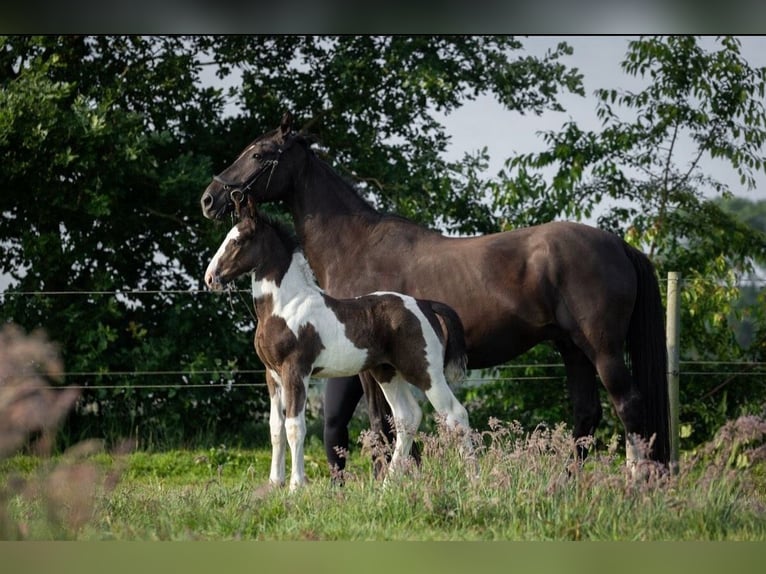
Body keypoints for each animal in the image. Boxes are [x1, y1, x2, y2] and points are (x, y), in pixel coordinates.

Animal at [204, 214, 474, 492]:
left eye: (237, 240)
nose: (210, 278)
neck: (285, 306)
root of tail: (425, 305)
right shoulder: (273, 375)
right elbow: (276, 428)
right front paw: (275, 482)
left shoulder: (296, 371)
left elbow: (294, 427)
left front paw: (296, 486)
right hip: (387, 372)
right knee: (407, 418)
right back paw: (388, 485)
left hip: (425, 372)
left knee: (456, 414)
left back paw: (472, 479)